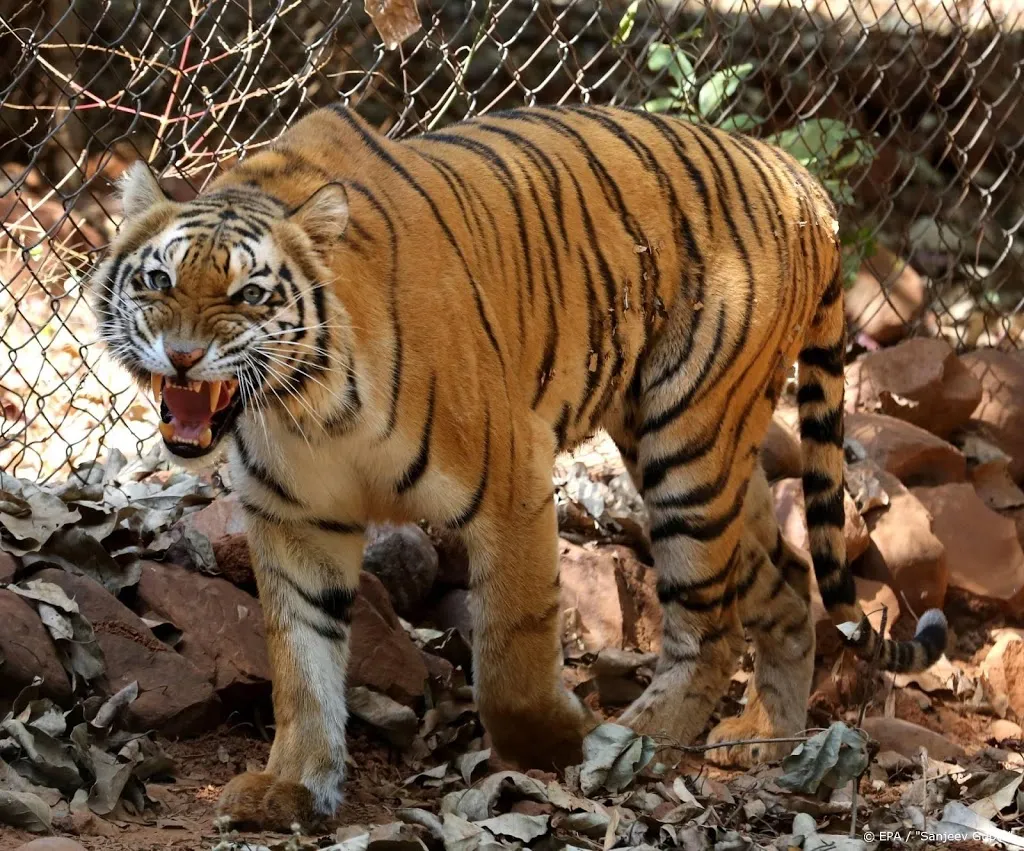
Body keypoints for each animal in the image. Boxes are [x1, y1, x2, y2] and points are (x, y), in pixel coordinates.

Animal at [92, 104, 946, 831]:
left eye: (247, 293)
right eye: (158, 280)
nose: (182, 355)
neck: (304, 408)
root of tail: (801, 178)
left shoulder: (511, 482)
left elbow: (511, 659)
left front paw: (561, 744)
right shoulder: (295, 517)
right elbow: (302, 663)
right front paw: (294, 784)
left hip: (691, 442)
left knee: (709, 629)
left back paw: (630, 743)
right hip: (711, 455)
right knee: (791, 585)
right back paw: (766, 740)